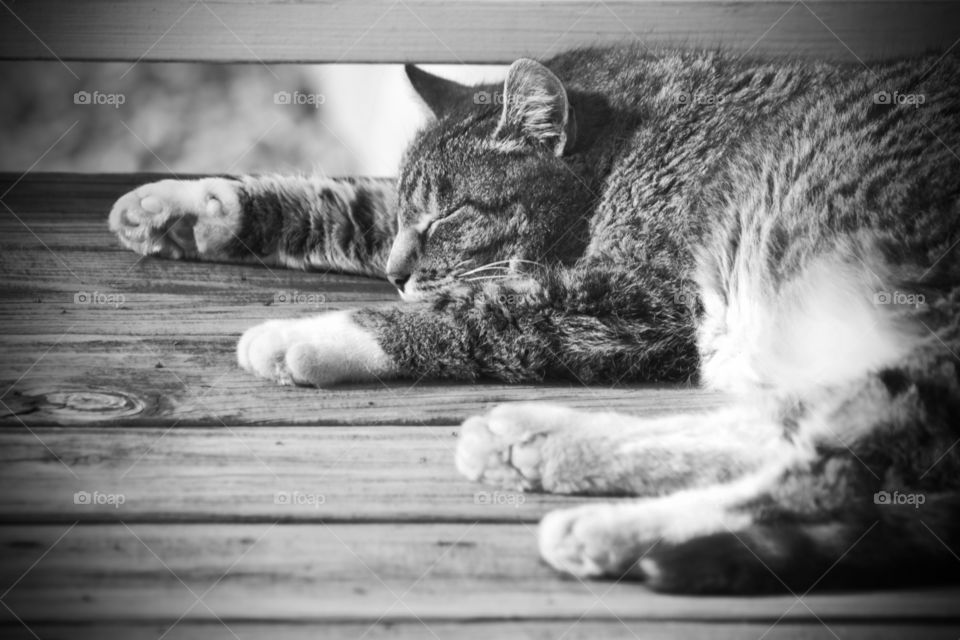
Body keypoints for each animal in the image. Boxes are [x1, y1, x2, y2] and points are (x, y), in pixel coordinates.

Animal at [107, 46, 960, 596]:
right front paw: (187, 210)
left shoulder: (637, 305)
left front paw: (314, 333)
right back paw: (538, 441)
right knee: (791, 426)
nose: (395, 273)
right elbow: (345, 203)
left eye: (451, 213)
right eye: (416, 211)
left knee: (840, 473)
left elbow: (475, 312)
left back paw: (618, 530)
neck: (629, 141)